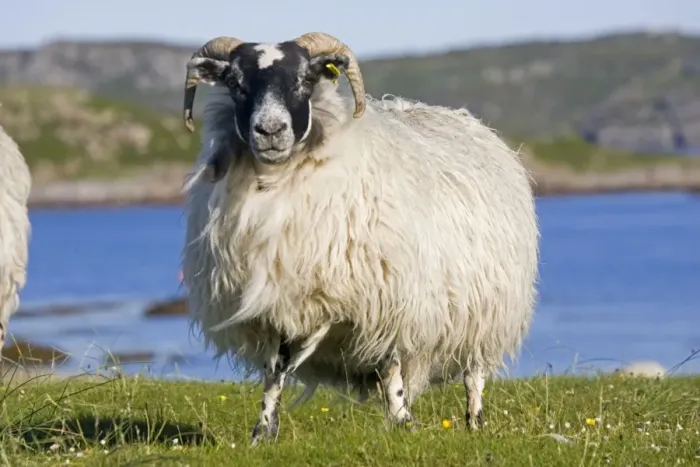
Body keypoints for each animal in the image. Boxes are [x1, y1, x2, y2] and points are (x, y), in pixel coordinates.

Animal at [180, 32, 540, 445]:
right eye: (236, 83)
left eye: (305, 79)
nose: (270, 131)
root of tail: (469, 122)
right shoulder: (280, 303)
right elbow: (275, 370)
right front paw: (263, 431)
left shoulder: (390, 300)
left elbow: (392, 365)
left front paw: (403, 422)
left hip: (485, 312)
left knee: (474, 374)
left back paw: (474, 421)